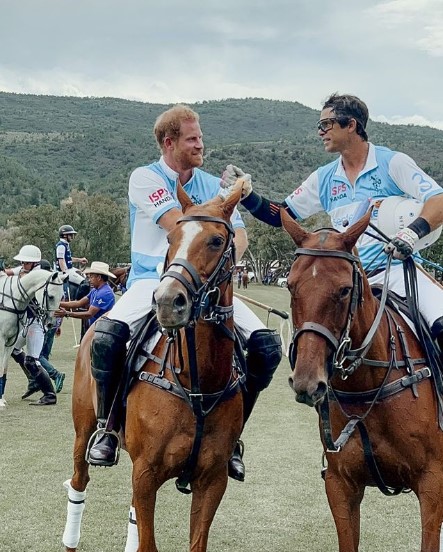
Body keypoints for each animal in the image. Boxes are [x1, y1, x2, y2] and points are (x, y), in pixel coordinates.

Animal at [61, 184, 245, 552]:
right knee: (78, 481)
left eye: (217, 240)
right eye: (170, 237)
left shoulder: (213, 480)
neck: (196, 384)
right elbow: (149, 542)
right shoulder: (146, 473)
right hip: (83, 428)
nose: (167, 301)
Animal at [282, 207, 443, 552]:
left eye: (345, 289)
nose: (307, 383)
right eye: (289, 285)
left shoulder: (433, 482)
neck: (368, 386)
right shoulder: (340, 484)